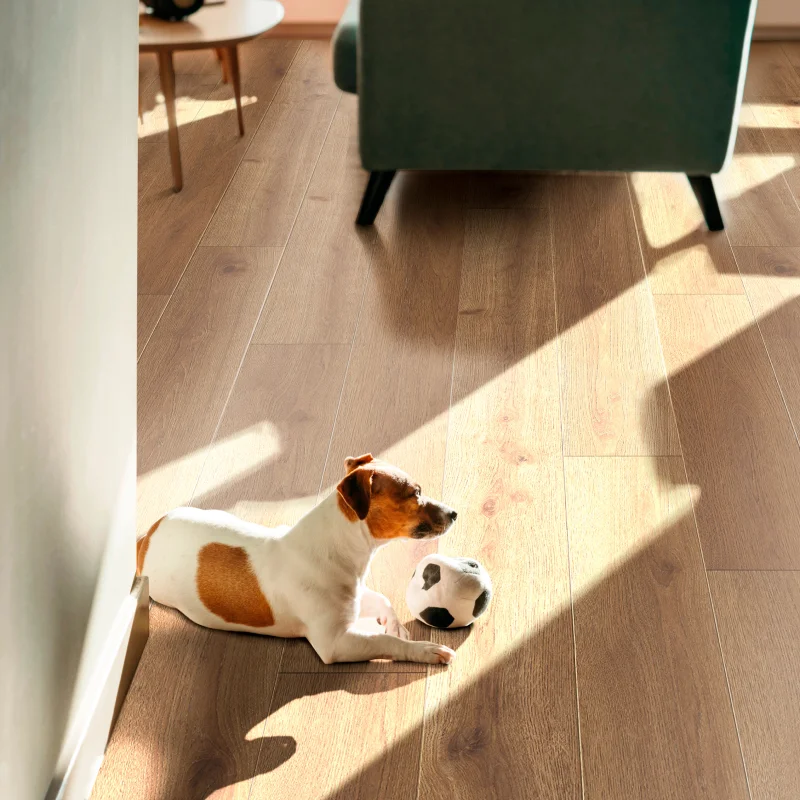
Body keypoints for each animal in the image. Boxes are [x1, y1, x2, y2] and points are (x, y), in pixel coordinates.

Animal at [136, 454, 456, 664]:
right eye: (415, 493)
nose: (454, 513)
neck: (338, 544)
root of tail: (146, 537)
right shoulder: (335, 643)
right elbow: (384, 640)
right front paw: (426, 650)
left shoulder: (352, 601)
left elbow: (383, 602)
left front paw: (397, 627)